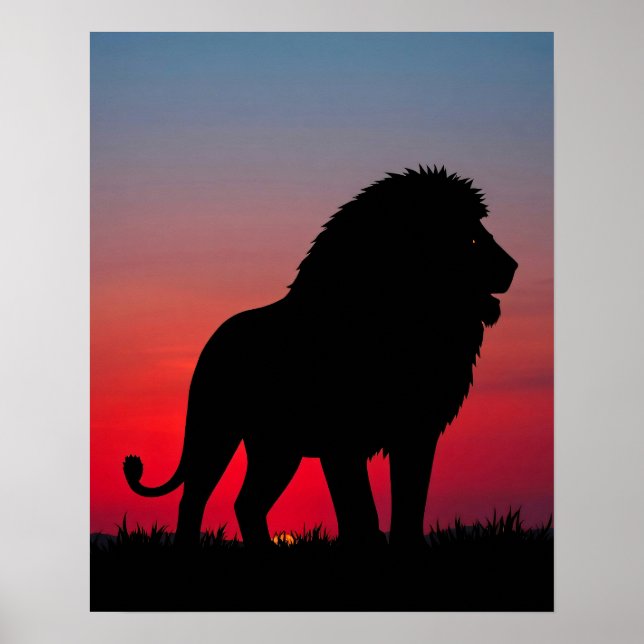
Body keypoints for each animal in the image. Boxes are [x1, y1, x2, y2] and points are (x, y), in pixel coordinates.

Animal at [123, 166, 518, 549]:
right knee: (194, 499)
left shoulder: (416, 430)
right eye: (471, 239)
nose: (513, 266)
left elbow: (409, 503)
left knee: (247, 503)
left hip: (276, 448)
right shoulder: (342, 439)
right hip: (217, 430)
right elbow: (359, 508)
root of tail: (212, 341)